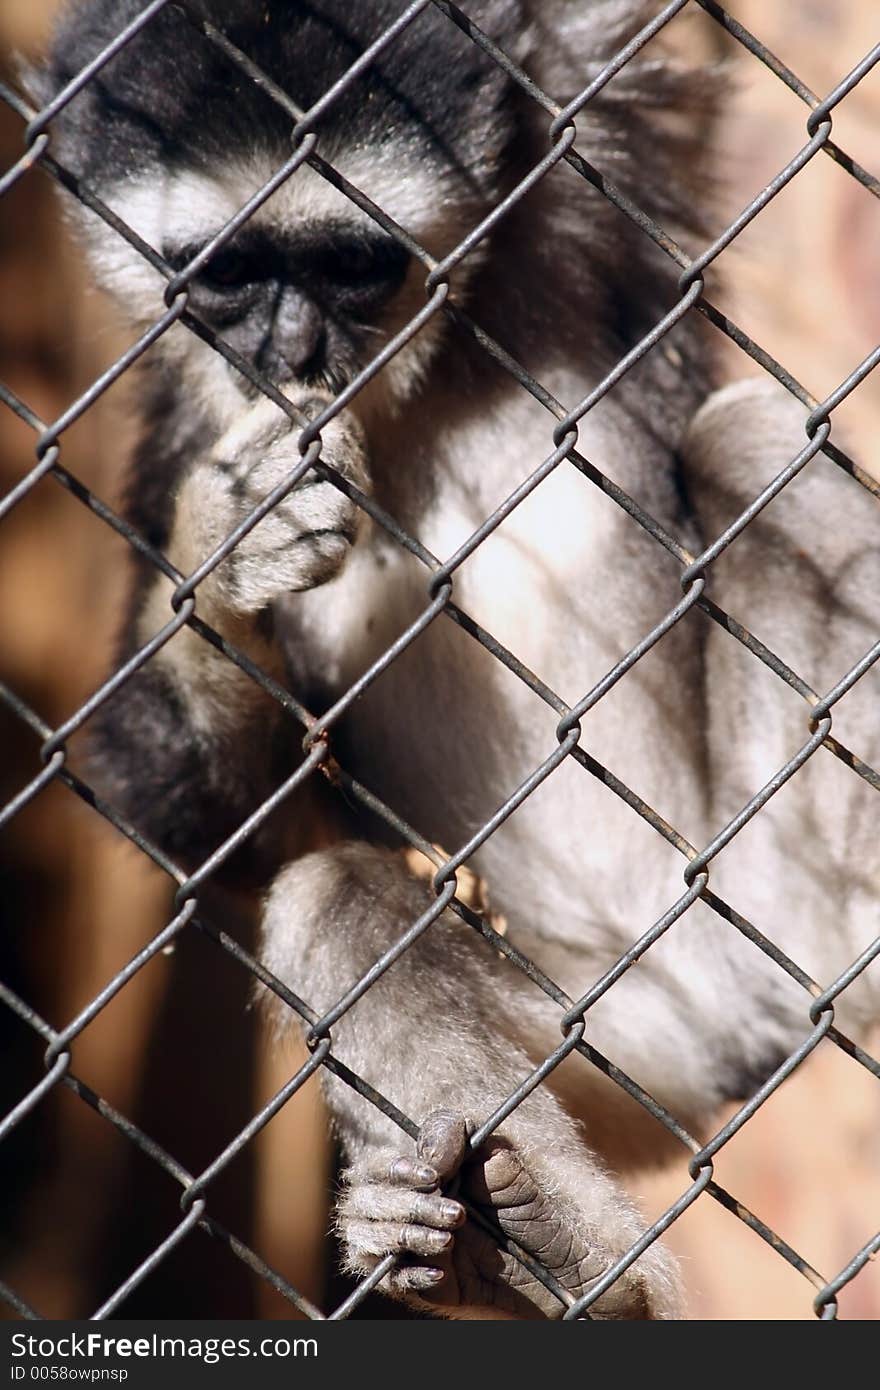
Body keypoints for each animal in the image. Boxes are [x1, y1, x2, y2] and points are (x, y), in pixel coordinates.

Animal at [29, 0, 878, 1317]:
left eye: (349, 265)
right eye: (229, 274)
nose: (292, 343)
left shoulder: (580, 121)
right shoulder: (192, 389)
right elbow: (190, 814)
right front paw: (224, 556)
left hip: (755, 923)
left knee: (754, 434)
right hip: (604, 1042)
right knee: (342, 895)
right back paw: (532, 1257)